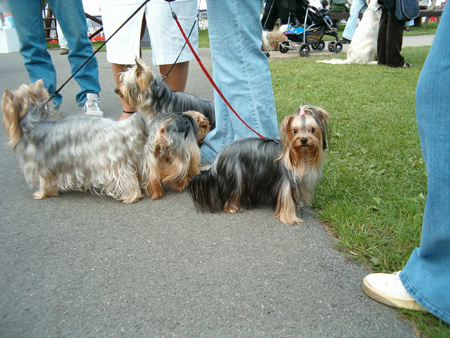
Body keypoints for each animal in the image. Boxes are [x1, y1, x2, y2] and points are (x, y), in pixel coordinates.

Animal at [1, 79, 146, 203]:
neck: (35, 121)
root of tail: (119, 126)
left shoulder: (42, 163)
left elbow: (44, 181)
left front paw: (41, 194)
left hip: (109, 160)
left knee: (124, 177)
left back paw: (131, 197)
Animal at [188, 104, 328, 223]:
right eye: (295, 130)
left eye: (312, 129)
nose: (303, 140)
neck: (301, 155)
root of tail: (219, 157)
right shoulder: (287, 182)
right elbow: (287, 199)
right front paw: (290, 218)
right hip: (236, 176)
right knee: (231, 194)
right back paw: (232, 208)